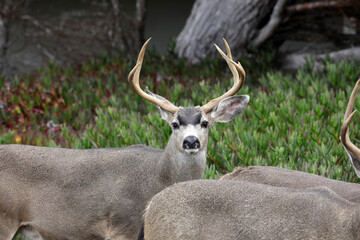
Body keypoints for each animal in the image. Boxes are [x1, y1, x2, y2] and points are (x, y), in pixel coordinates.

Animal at [0, 38, 249, 240]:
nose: (190, 142)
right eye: (174, 124)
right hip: (5, 218)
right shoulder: (123, 225)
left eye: (205, 123)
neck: (159, 178)